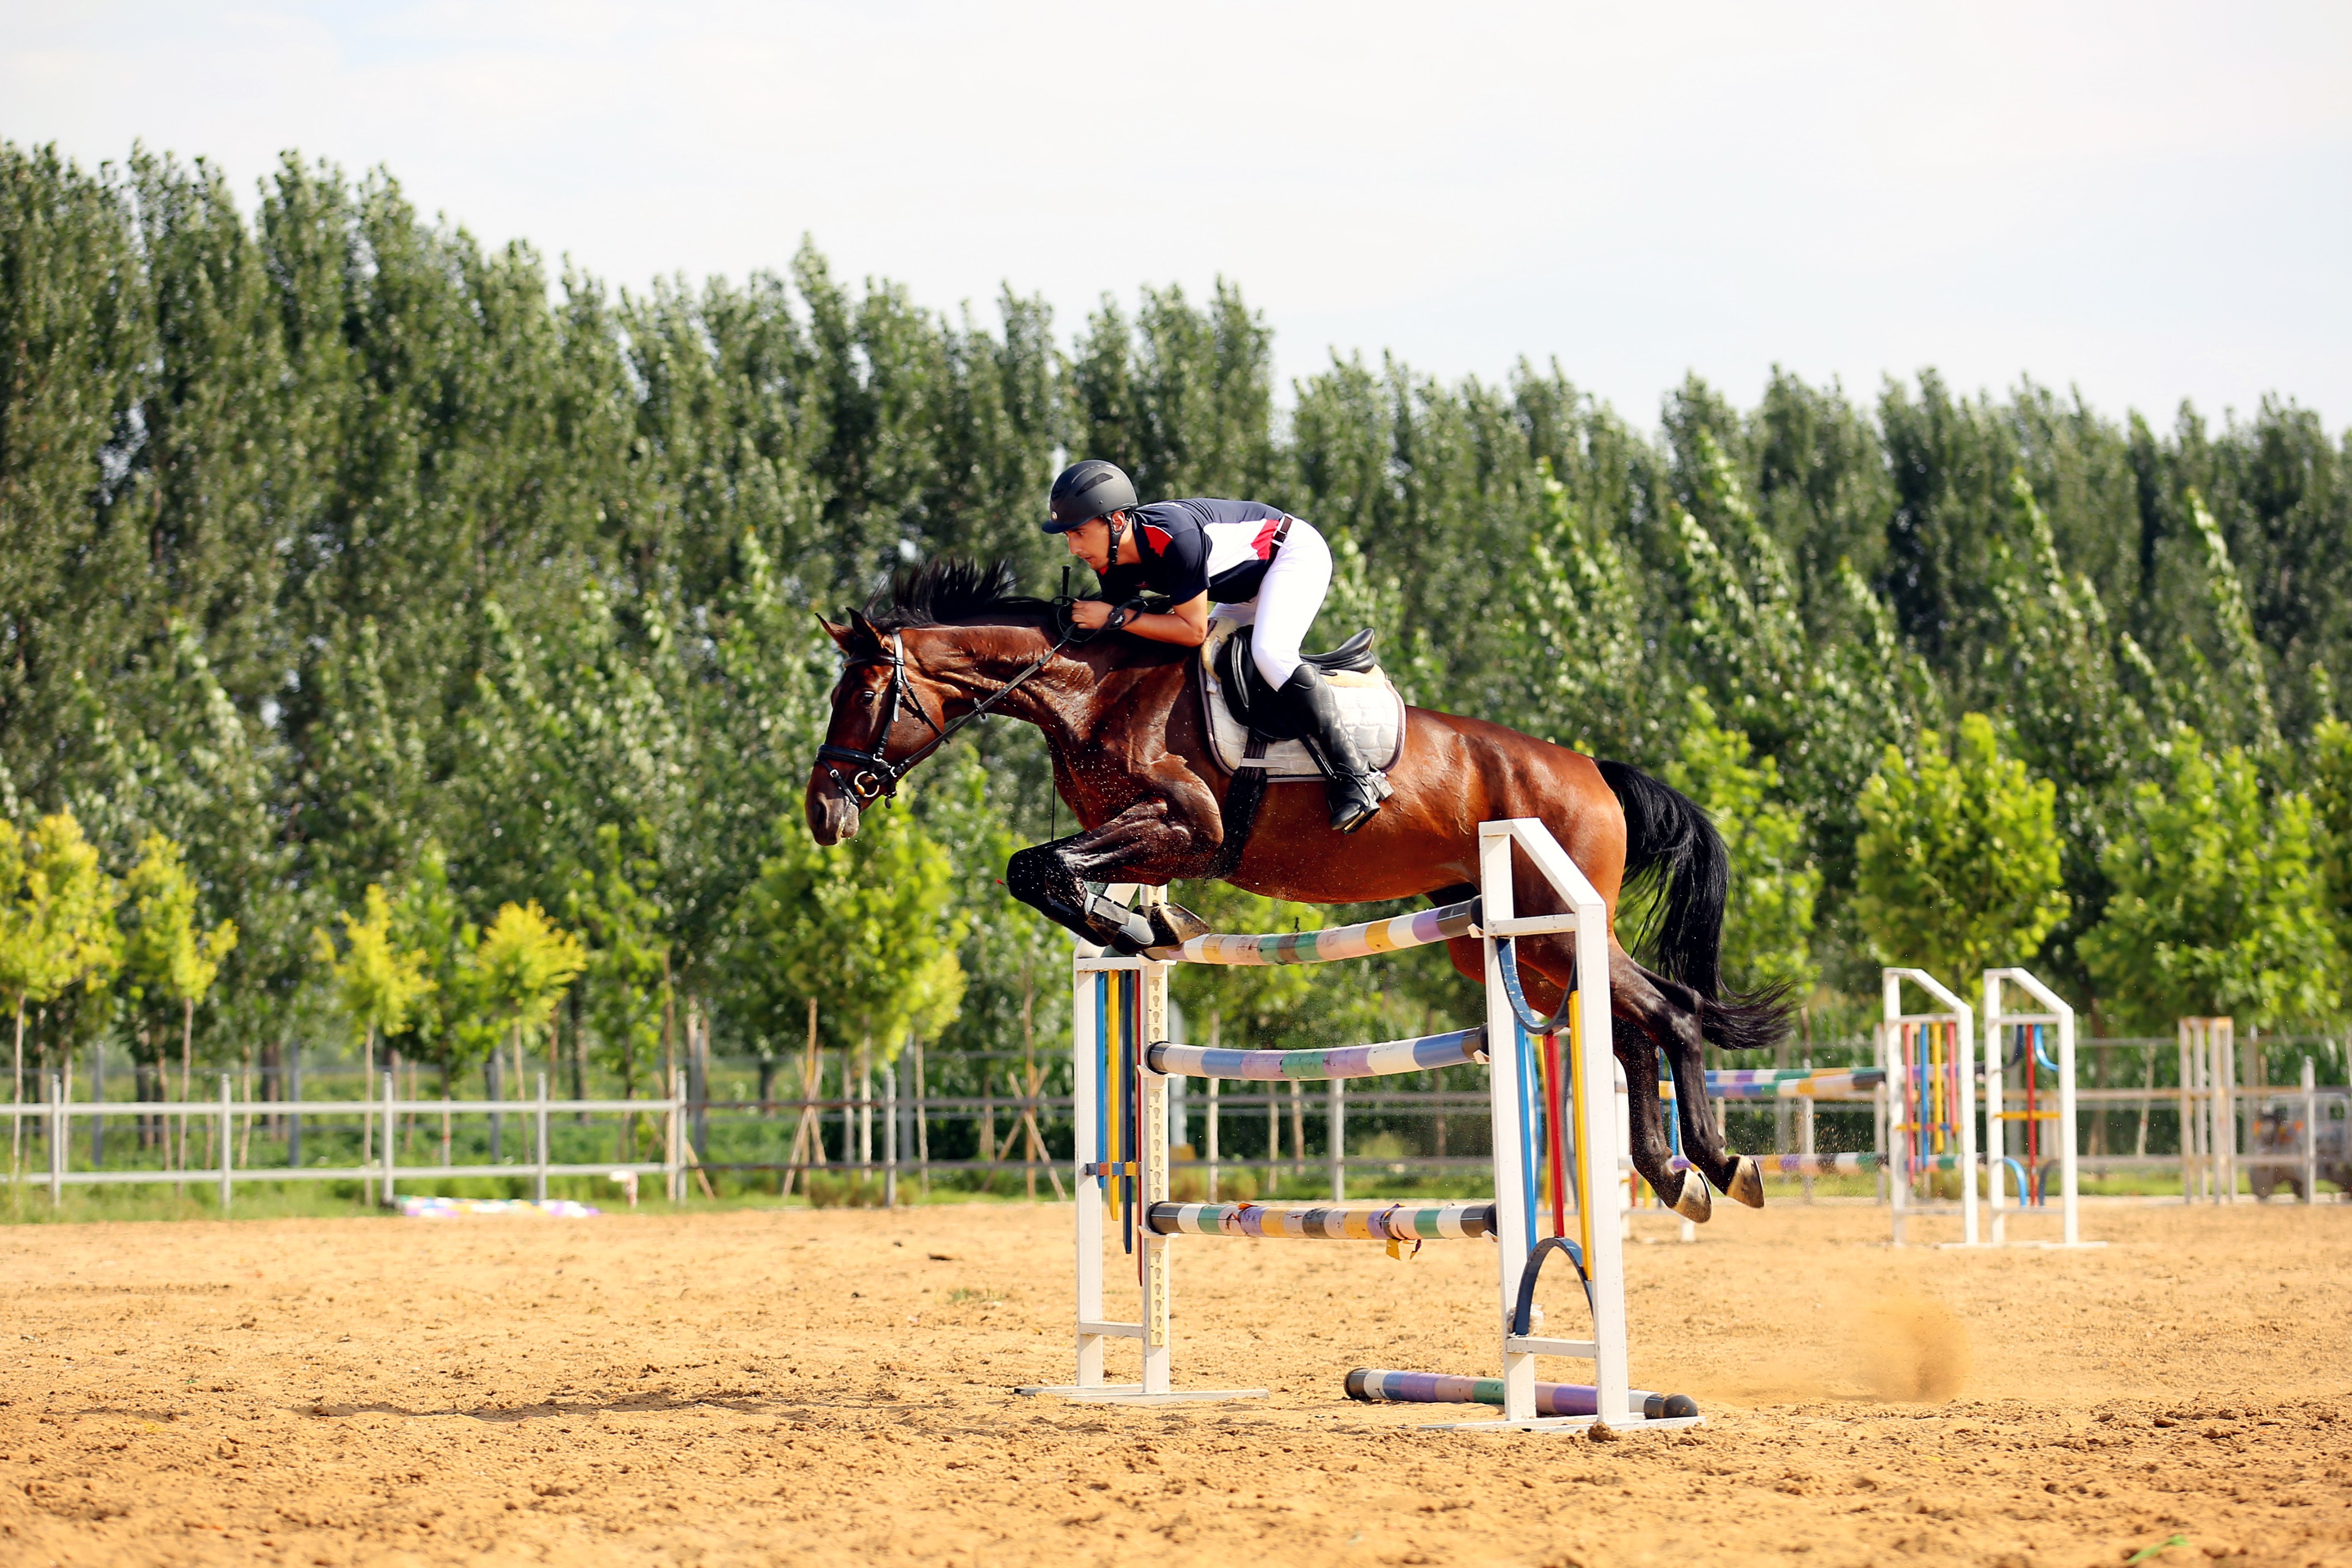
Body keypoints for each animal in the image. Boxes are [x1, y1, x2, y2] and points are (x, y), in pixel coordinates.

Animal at [799, 557, 1787, 1222]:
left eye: (862, 696)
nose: (822, 811)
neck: (1089, 689)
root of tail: (1594, 771)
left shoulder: (1189, 825)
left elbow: (1035, 866)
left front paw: (1135, 927)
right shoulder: (1147, 838)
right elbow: (1051, 872)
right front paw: (1144, 926)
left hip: (1544, 924)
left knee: (1671, 1011)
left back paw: (1717, 1162)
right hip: (1513, 945)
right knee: (1632, 1024)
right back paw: (1676, 1173)